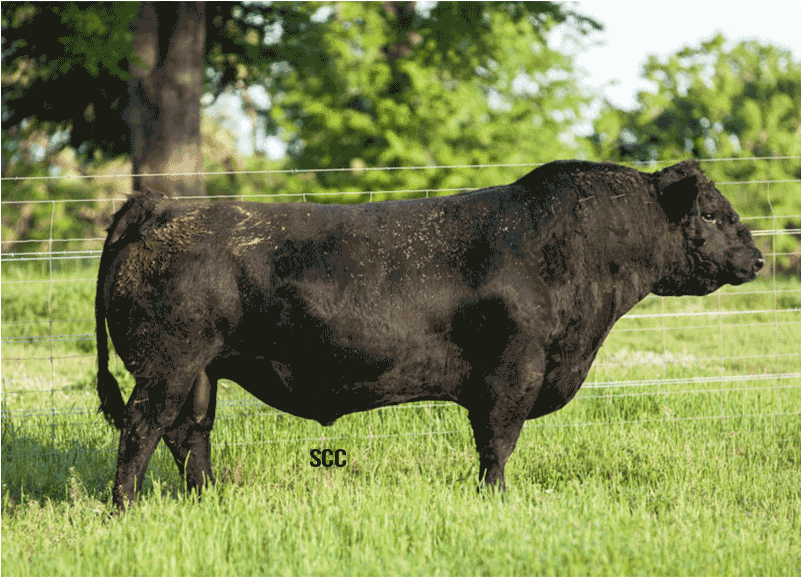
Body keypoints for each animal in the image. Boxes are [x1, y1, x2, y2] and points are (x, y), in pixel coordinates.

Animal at [96, 159, 764, 509]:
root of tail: (161, 206)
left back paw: (209, 500)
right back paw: (124, 507)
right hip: (168, 365)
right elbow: (497, 446)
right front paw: (496, 499)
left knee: (189, 434)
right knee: (142, 430)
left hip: (200, 372)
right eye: (710, 213)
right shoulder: (512, 375)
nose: (757, 258)